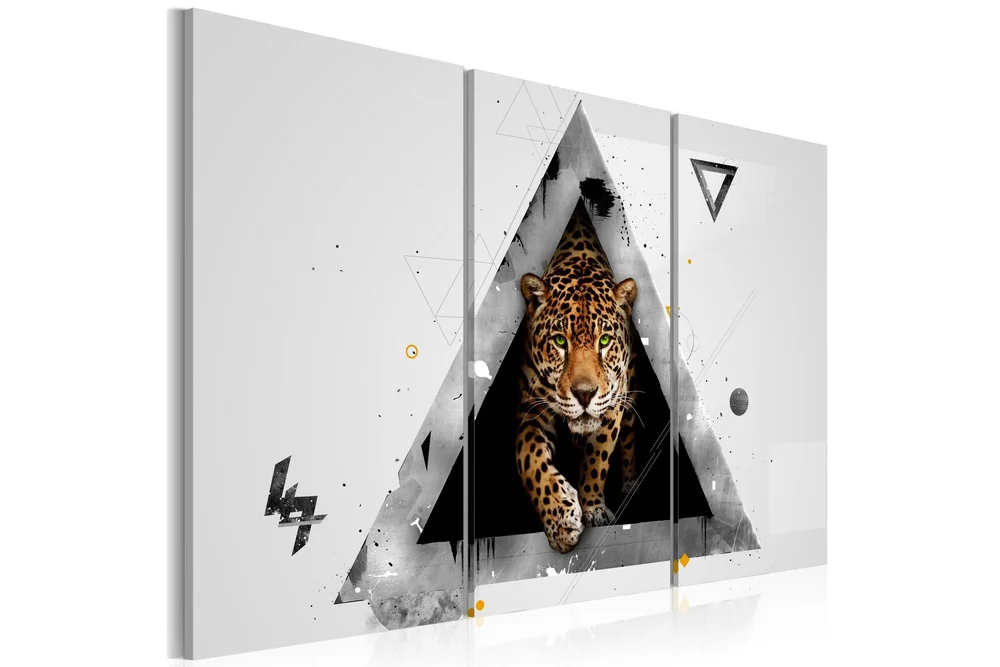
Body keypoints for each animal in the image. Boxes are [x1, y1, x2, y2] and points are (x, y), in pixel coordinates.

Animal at [516, 197, 640, 554]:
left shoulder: (612, 405)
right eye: (560, 341)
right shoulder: (530, 411)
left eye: (605, 340)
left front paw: (593, 508)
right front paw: (561, 521)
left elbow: (598, 456)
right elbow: (530, 460)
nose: (584, 394)